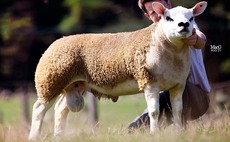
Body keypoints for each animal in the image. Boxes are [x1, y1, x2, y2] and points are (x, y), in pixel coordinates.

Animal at [28, 1, 207, 140]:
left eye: (191, 18)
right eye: (169, 18)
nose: (184, 25)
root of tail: (55, 42)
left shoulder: (178, 85)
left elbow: (178, 111)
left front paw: (179, 133)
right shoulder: (149, 82)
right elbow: (154, 112)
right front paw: (154, 134)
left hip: (73, 85)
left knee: (60, 109)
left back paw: (59, 136)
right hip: (50, 81)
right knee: (38, 110)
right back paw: (34, 137)